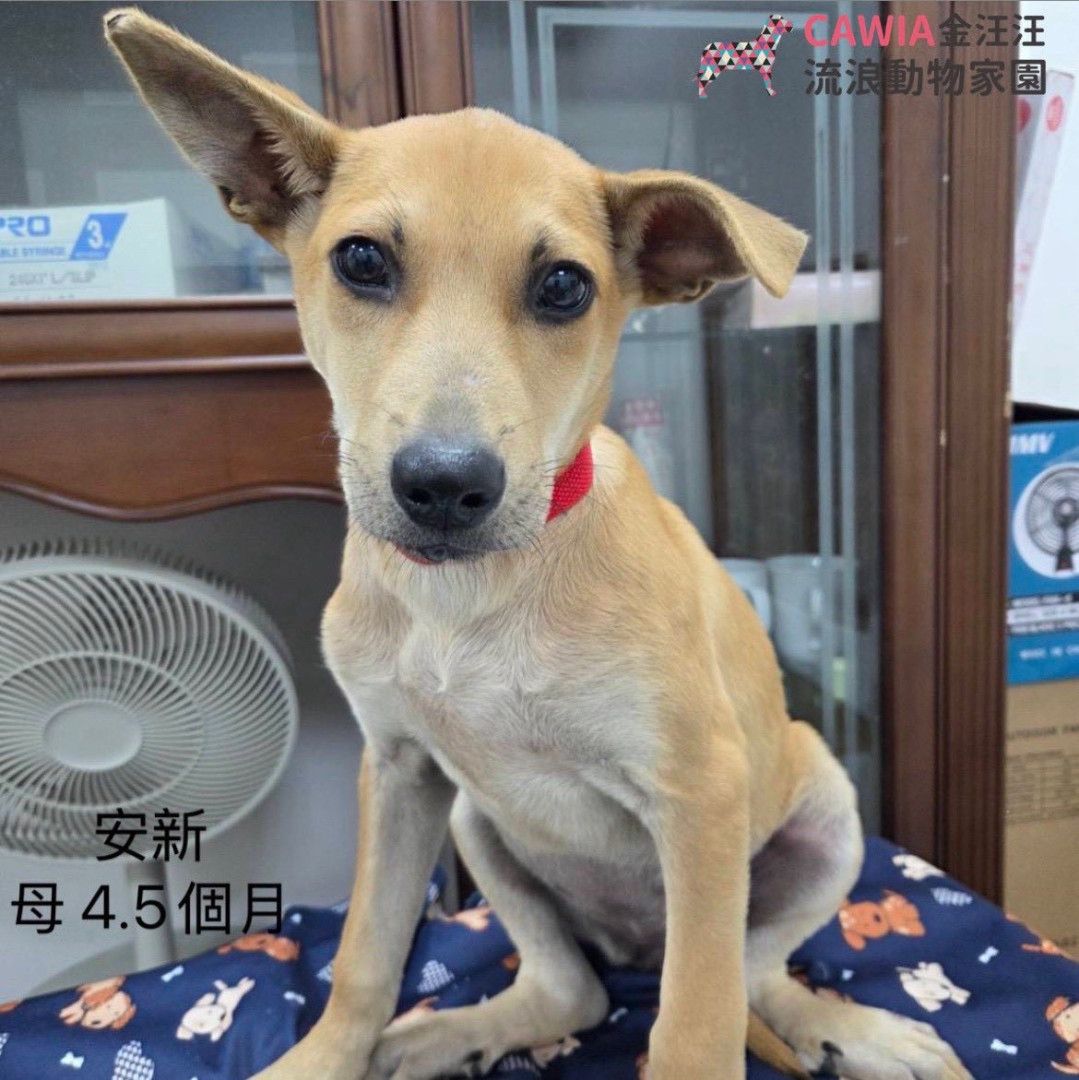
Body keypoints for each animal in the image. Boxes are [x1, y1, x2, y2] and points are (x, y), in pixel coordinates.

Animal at [107, 11, 971, 1079]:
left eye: (563, 285)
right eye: (360, 262)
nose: (445, 487)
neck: (469, 595)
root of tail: (635, 943)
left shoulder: (700, 791)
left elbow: (696, 1021)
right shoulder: (398, 770)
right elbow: (365, 953)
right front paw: (325, 1058)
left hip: (822, 807)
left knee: (752, 975)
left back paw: (855, 1031)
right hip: (481, 825)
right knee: (572, 987)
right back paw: (450, 1033)